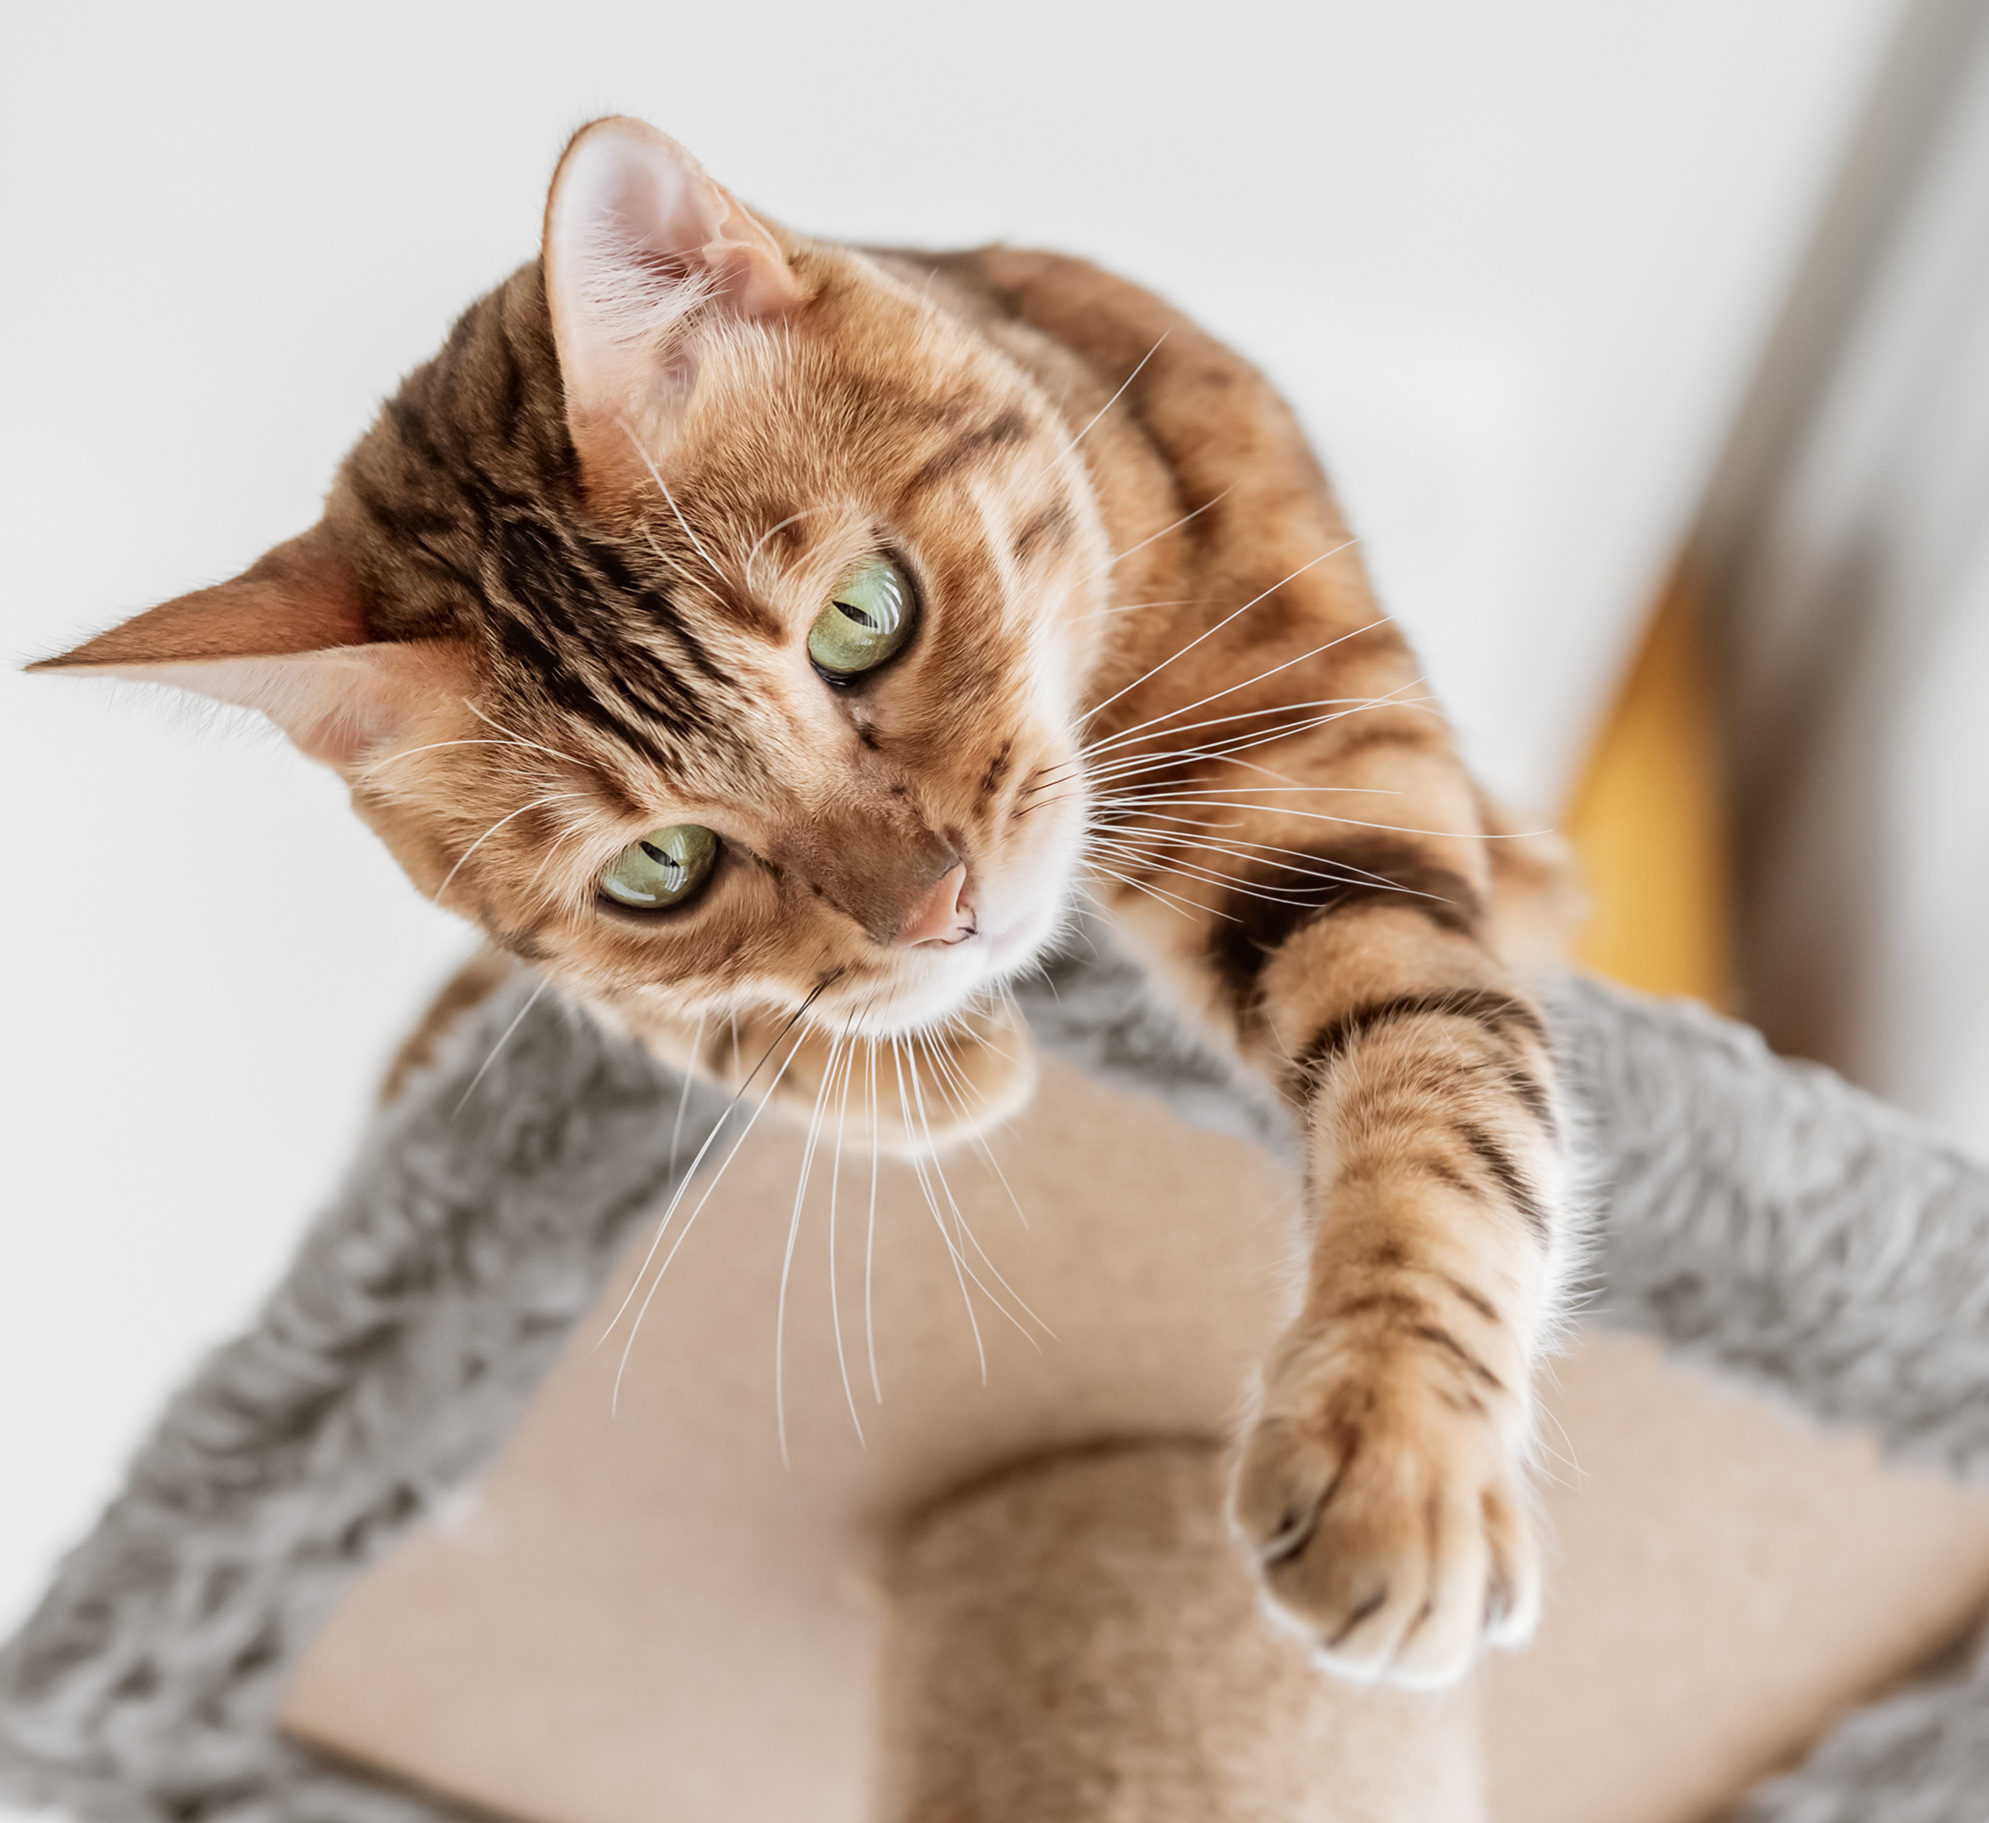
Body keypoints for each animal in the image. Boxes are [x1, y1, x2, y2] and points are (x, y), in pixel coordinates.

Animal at [35, 117, 1567, 1693]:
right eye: (658, 866)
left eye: (861, 617)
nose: (944, 911)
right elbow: (660, 1004)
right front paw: (929, 1058)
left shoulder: (1330, 776)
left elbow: (1440, 1081)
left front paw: (1396, 1446)